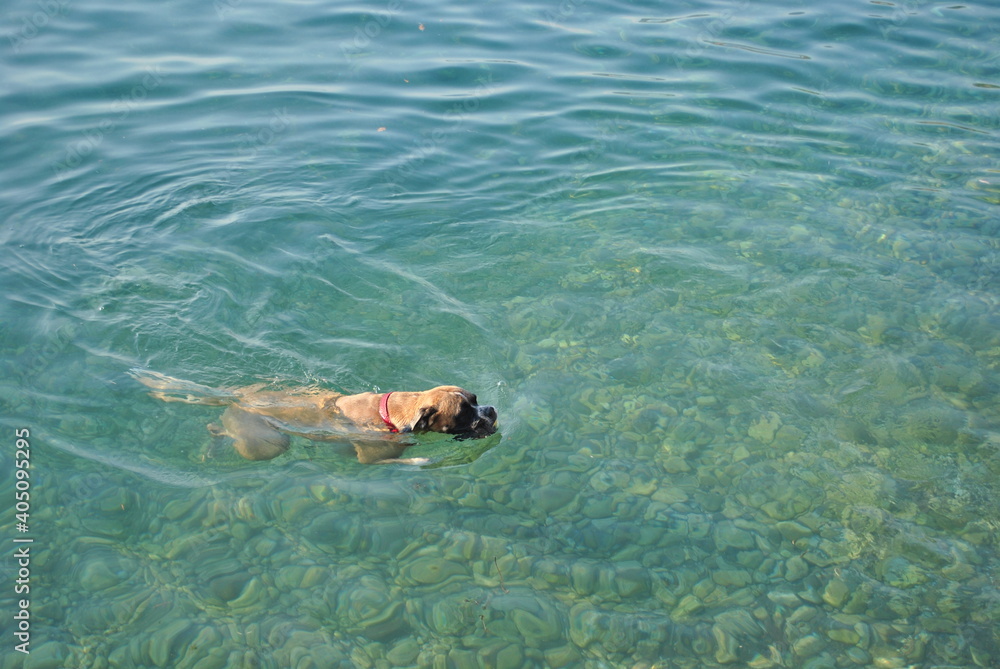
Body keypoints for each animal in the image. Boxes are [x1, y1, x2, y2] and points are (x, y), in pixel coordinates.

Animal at [130, 370, 498, 464]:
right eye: (463, 414)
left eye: (476, 400)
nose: (491, 411)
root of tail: (238, 396)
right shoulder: (372, 458)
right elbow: (407, 461)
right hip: (269, 442)